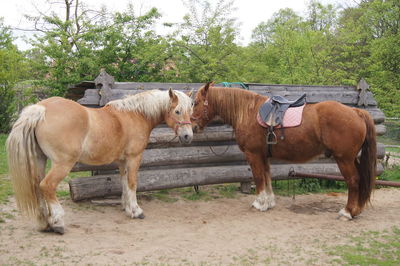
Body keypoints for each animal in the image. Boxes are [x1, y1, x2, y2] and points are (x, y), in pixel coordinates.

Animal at [6, 89, 194, 233]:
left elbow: (124, 183)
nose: (188, 136)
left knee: (37, 187)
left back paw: (44, 223)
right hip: (62, 164)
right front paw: (136, 211)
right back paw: (58, 222)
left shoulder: (122, 161)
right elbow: (132, 183)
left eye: (190, 112)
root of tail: (41, 109)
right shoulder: (134, 158)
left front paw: (127, 208)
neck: (135, 115)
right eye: (177, 111)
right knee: (47, 186)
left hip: (39, 160)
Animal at [192, 83, 376, 220]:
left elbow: (258, 178)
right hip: (352, 158)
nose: (192, 127)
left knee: (353, 181)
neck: (247, 112)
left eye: (196, 102)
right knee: (360, 180)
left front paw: (259, 203)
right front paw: (269, 202)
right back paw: (356, 210)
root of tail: (356, 112)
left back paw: (347, 212)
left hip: (344, 159)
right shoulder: (264, 156)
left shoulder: (253, 155)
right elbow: (267, 177)